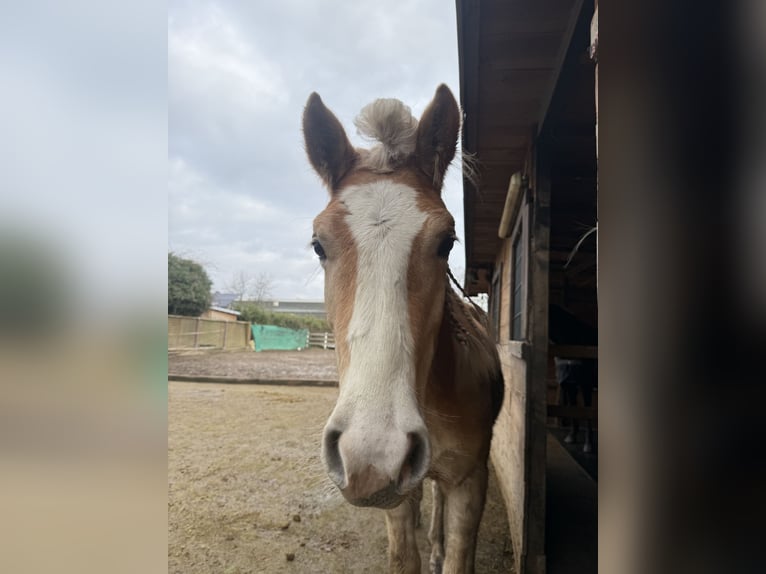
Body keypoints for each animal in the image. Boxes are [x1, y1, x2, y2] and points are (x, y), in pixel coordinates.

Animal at [302, 84, 504, 574]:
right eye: (318, 244)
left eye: (447, 241)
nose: (375, 453)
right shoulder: (396, 497)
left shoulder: (471, 481)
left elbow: (458, 556)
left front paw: (442, 552)